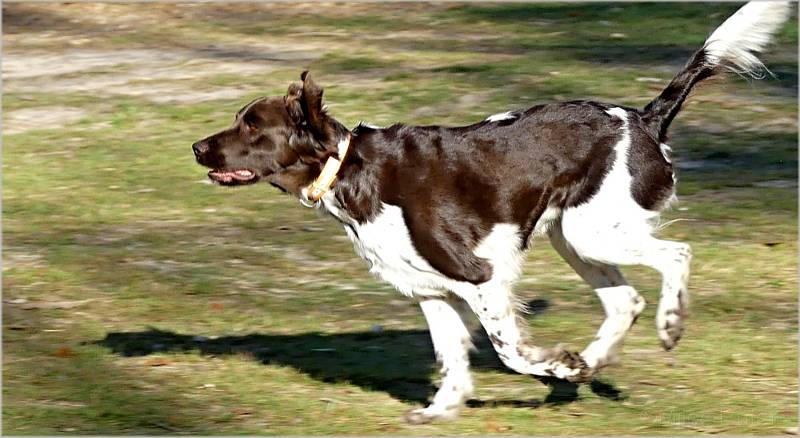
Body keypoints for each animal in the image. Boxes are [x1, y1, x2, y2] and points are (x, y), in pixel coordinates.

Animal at [192, 1, 788, 422]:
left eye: (252, 126)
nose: (197, 148)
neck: (350, 169)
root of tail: (644, 118)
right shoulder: (431, 290)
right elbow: (452, 358)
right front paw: (441, 410)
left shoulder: (479, 275)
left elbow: (508, 350)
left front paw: (554, 364)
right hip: (573, 235)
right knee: (625, 300)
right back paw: (590, 365)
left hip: (593, 232)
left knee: (676, 256)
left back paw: (666, 326)